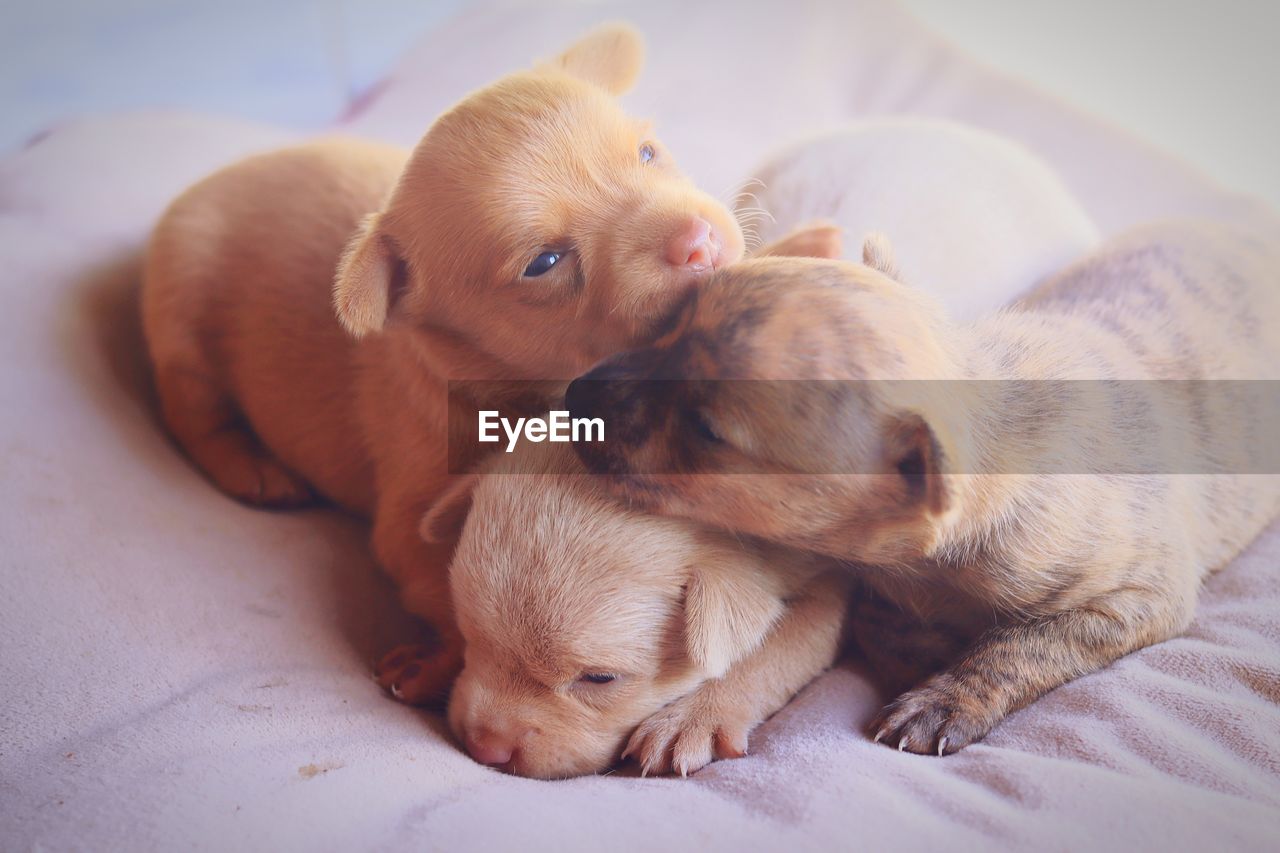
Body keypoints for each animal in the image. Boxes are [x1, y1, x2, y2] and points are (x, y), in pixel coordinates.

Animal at [142, 24, 839, 701]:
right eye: (545, 263)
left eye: (648, 153)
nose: (698, 241)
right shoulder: (413, 513)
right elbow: (447, 584)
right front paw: (436, 661)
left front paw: (801, 248)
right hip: (181, 309)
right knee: (191, 410)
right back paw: (252, 468)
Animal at [419, 438, 849, 778]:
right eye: (468, 636)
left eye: (599, 679)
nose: (483, 748)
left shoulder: (825, 583)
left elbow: (777, 650)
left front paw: (693, 718)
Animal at [568, 220, 1280, 753]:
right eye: (666, 326)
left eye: (704, 429)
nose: (576, 396)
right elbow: (885, 622)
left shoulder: (1135, 597)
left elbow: (1027, 641)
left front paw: (944, 697)